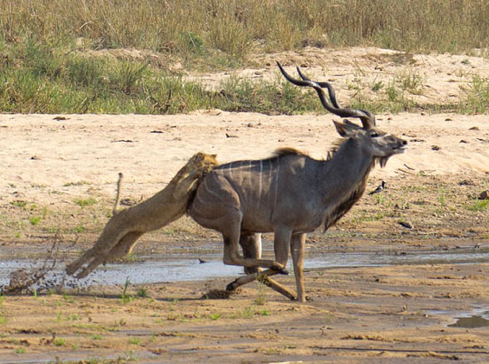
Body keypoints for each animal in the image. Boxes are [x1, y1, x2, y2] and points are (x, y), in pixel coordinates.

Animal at [66, 152, 218, 278]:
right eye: (211, 163)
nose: (217, 169)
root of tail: (118, 212)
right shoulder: (177, 192)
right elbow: (189, 179)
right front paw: (200, 171)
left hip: (124, 247)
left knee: (101, 257)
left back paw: (81, 274)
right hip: (111, 236)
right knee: (92, 251)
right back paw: (70, 270)